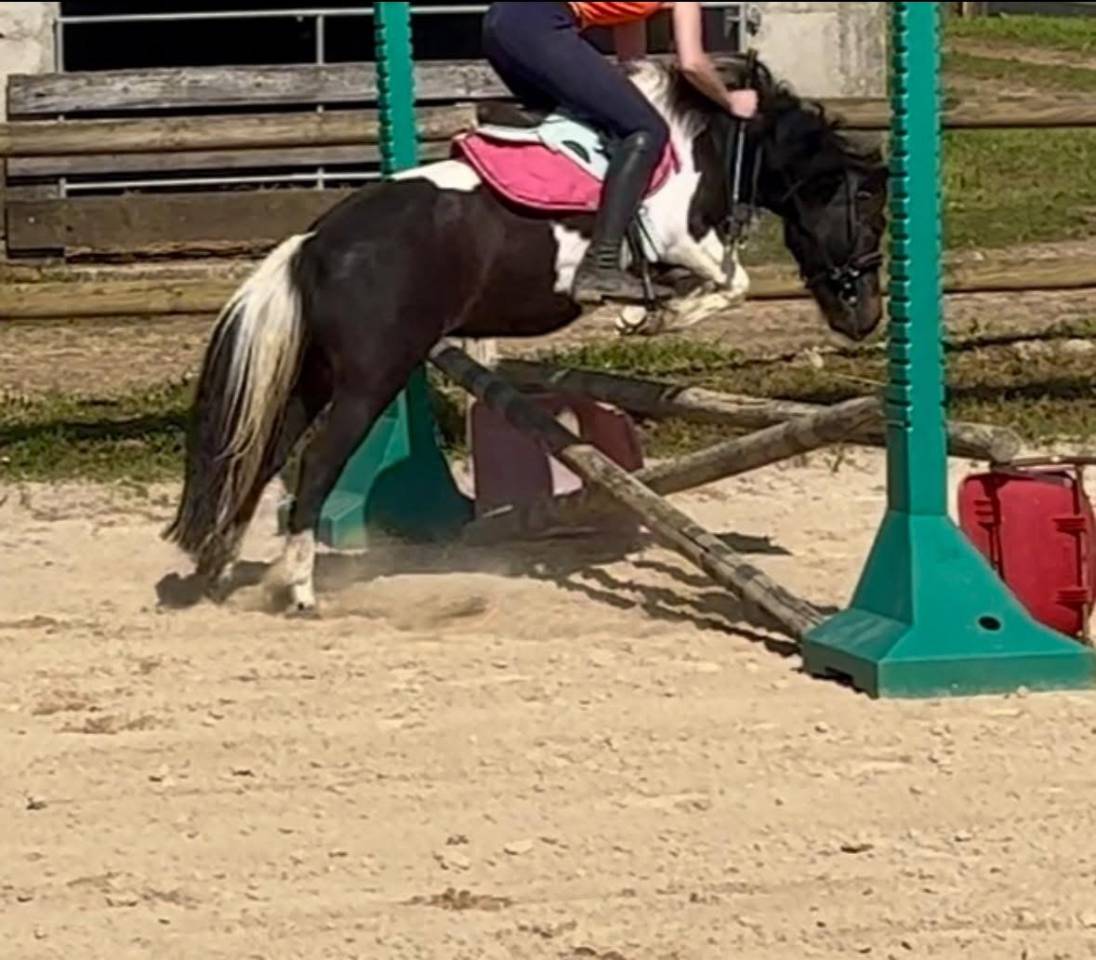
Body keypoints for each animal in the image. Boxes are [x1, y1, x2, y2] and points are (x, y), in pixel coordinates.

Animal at [164, 55, 888, 615]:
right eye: (872, 214)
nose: (865, 319)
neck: (716, 140)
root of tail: (314, 243)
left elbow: (723, 283)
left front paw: (648, 312)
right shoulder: (681, 237)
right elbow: (730, 282)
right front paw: (645, 315)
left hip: (317, 376)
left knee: (257, 453)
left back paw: (220, 567)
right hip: (373, 376)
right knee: (314, 463)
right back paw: (299, 591)